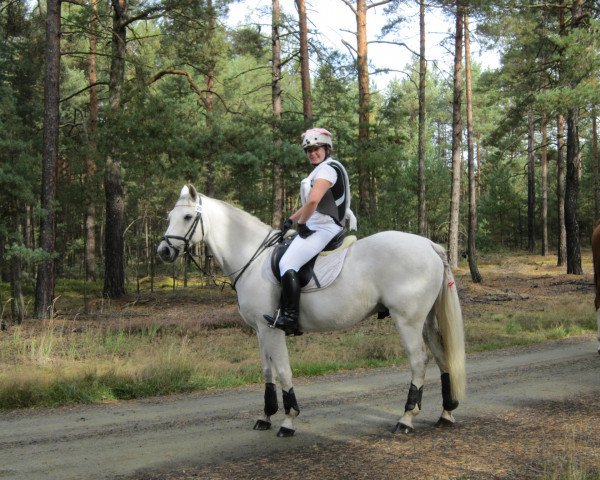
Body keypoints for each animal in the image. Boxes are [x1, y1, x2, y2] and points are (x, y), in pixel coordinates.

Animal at [157, 186, 466, 436]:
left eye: (187, 217)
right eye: (170, 216)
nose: (163, 251)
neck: (253, 258)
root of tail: (429, 244)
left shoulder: (271, 328)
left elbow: (283, 371)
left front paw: (288, 421)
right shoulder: (259, 331)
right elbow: (267, 370)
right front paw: (266, 416)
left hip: (408, 320)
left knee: (419, 360)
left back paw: (406, 418)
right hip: (426, 320)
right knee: (442, 357)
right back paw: (446, 413)